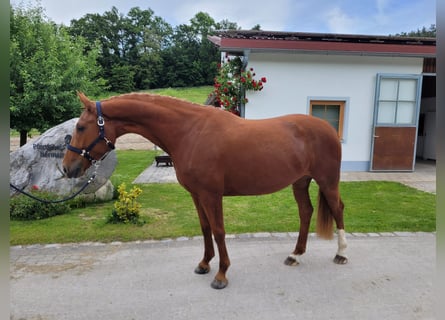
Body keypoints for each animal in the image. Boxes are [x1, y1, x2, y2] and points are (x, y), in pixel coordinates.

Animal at [62, 92, 346, 290]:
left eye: (80, 127)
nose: (67, 168)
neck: (190, 132)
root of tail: (329, 129)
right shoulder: (197, 195)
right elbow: (205, 227)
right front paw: (204, 264)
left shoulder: (211, 195)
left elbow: (219, 231)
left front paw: (221, 274)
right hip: (300, 182)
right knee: (306, 212)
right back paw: (295, 255)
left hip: (327, 181)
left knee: (338, 209)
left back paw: (341, 254)